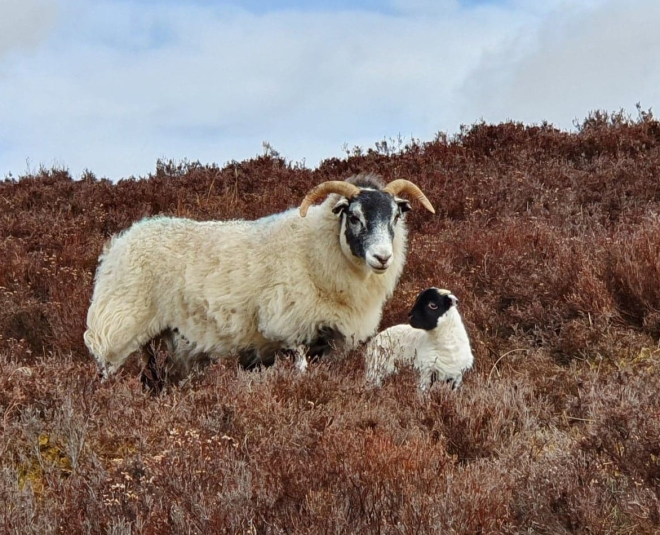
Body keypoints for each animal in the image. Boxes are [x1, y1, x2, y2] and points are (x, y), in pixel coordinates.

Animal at [84, 173, 434, 382]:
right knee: (106, 367)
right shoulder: (291, 327)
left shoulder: (328, 338)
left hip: (165, 338)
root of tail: (121, 240)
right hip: (117, 325)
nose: (383, 257)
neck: (314, 248)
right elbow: (300, 370)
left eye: (395, 216)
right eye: (354, 217)